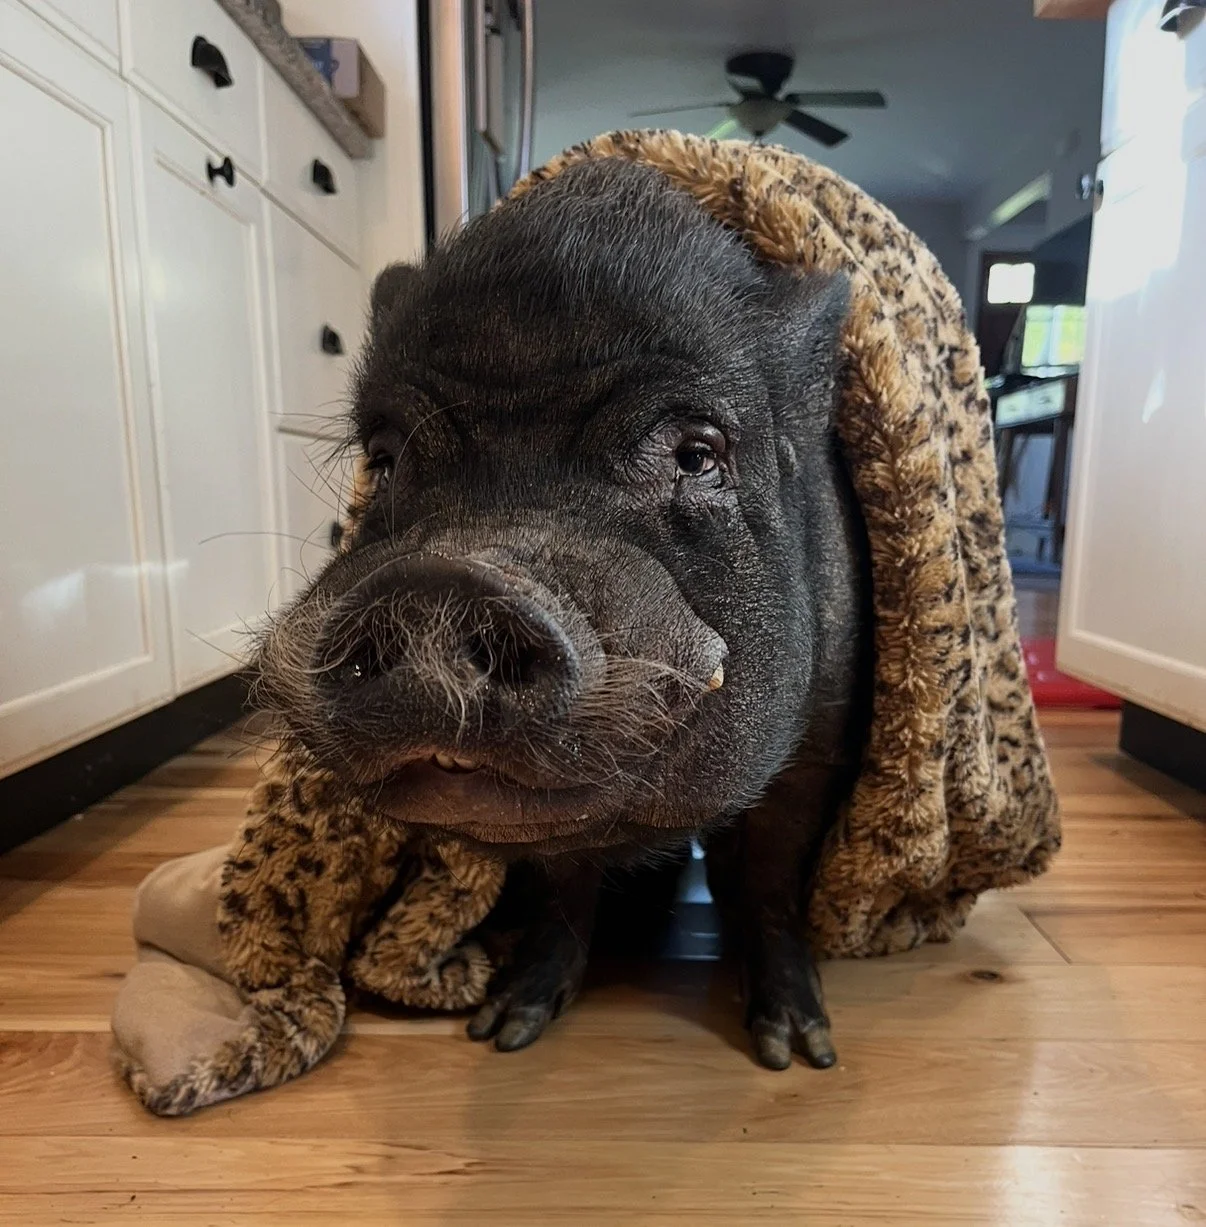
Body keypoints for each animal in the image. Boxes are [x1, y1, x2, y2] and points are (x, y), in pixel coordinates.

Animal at [253, 157, 872, 1071]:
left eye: (698, 454)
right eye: (385, 456)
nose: (440, 583)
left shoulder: (823, 729)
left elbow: (768, 869)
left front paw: (796, 1051)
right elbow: (561, 879)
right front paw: (504, 1028)